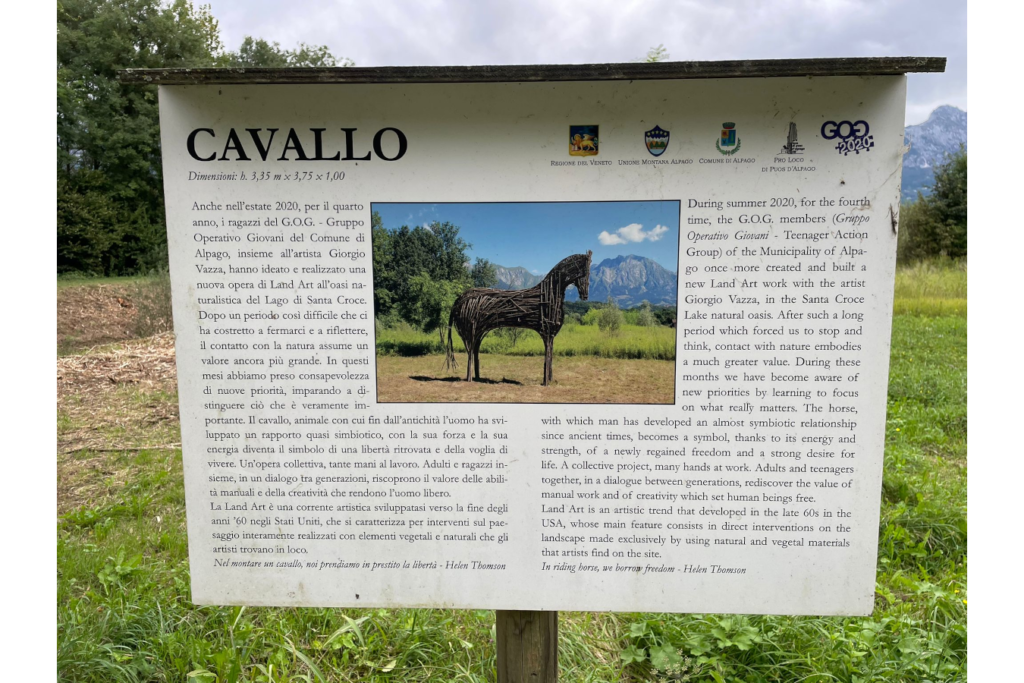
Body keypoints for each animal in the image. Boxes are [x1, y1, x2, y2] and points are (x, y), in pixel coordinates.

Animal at [440, 249, 593, 385]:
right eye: (585, 273)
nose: (585, 296)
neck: (551, 293)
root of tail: (459, 299)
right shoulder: (547, 331)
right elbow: (547, 355)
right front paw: (546, 382)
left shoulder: (551, 334)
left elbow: (550, 356)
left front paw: (550, 379)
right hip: (470, 330)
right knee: (470, 350)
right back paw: (470, 379)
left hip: (479, 331)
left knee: (474, 350)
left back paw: (477, 377)